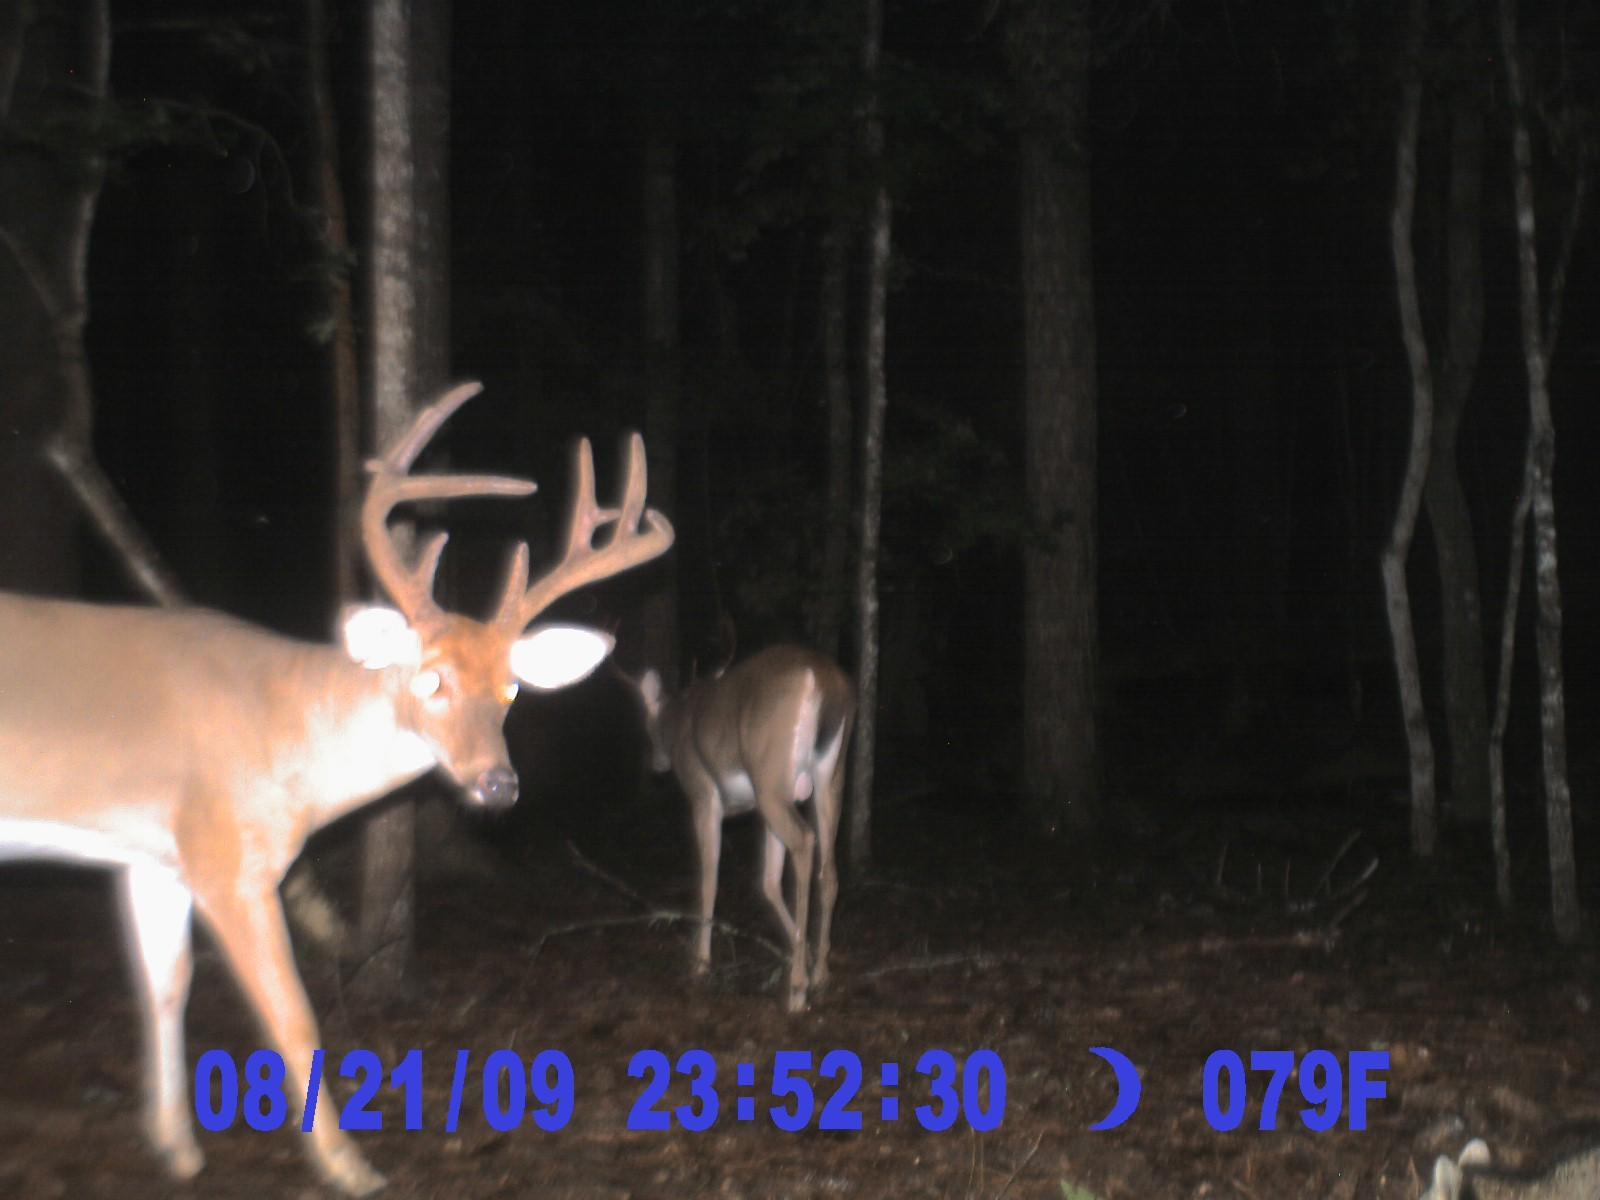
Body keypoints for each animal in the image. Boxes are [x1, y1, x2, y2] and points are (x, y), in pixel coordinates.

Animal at [0, 382, 673, 1196]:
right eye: (431, 679)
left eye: (512, 689)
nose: (498, 784)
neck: (280, 730)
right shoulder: (226, 859)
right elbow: (293, 1016)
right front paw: (350, 1165)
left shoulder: (153, 857)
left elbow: (164, 986)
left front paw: (175, 1146)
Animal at [634, 645, 854, 1012]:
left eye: (648, 726)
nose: (656, 764)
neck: (679, 722)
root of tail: (821, 678)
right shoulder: (759, 811)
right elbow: (768, 881)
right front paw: (808, 953)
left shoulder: (704, 795)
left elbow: (709, 879)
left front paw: (701, 963)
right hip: (828, 777)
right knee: (828, 868)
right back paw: (820, 971)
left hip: (771, 779)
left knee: (804, 841)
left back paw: (797, 988)